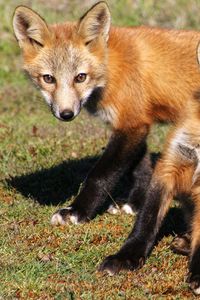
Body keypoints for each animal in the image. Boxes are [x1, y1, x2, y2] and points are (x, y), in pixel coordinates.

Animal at [12, 1, 200, 294]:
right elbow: (141, 168)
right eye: (48, 79)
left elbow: (100, 175)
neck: (110, 68)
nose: (66, 114)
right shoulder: (134, 124)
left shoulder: (132, 124)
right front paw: (133, 204)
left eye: (80, 77)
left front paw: (77, 212)